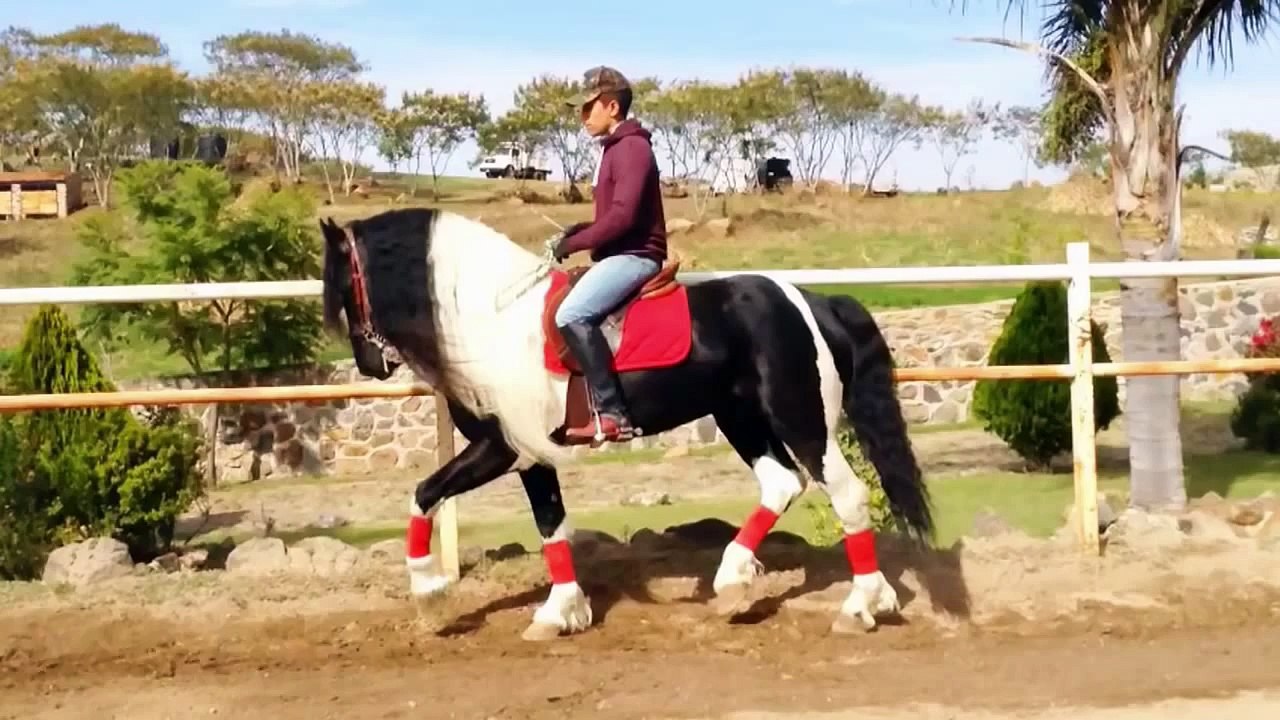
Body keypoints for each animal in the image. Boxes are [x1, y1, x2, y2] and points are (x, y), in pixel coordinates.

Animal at [318, 207, 934, 641]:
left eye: (344, 287)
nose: (370, 365)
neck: (492, 321)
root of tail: (813, 300)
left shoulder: (502, 447)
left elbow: (424, 493)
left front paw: (429, 593)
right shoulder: (530, 454)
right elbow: (550, 525)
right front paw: (561, 613)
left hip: (801, 418)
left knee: (846, 493)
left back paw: (860, 606)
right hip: (738, 416)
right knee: (781, 483)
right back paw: (735, 580)